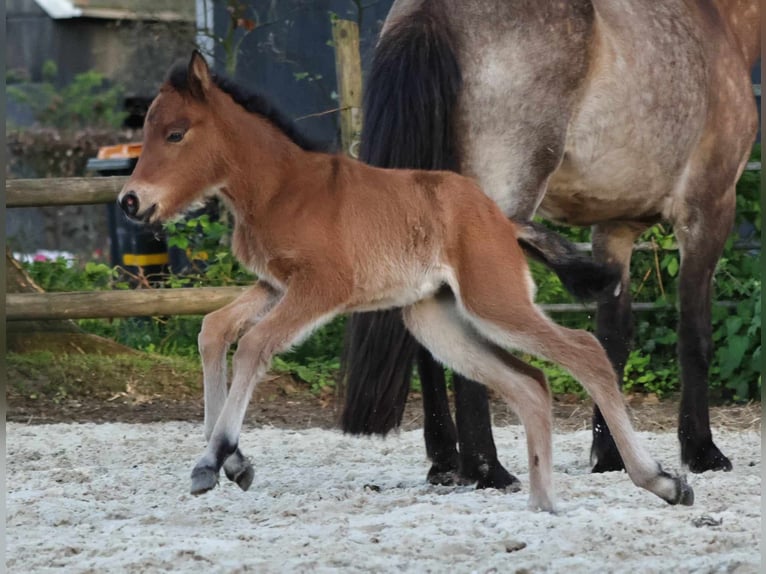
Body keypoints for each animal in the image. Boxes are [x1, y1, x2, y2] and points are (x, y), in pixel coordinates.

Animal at [118, 51, 693, 510]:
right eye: (146, 131)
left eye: (176, 133)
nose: (131, 201)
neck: (282, 188)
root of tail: (501, 220)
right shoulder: (276, 286)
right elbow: (214, 329)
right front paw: (231, 461)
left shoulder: (321, 287)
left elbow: (254, 345)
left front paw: (214, 461)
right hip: (436, 320)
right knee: (530, 384)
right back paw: (545, 505)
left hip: (493, 301)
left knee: (584, 352)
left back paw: (661, 482)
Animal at [340, 0, 761, 489]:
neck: (716, 21)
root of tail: (431, 14)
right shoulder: (708, 210)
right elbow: (694, 336)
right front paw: (702, 451)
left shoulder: (614, 228)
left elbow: (613, 339)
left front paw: (610, 454)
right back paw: (488, 468)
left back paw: (445, 461)